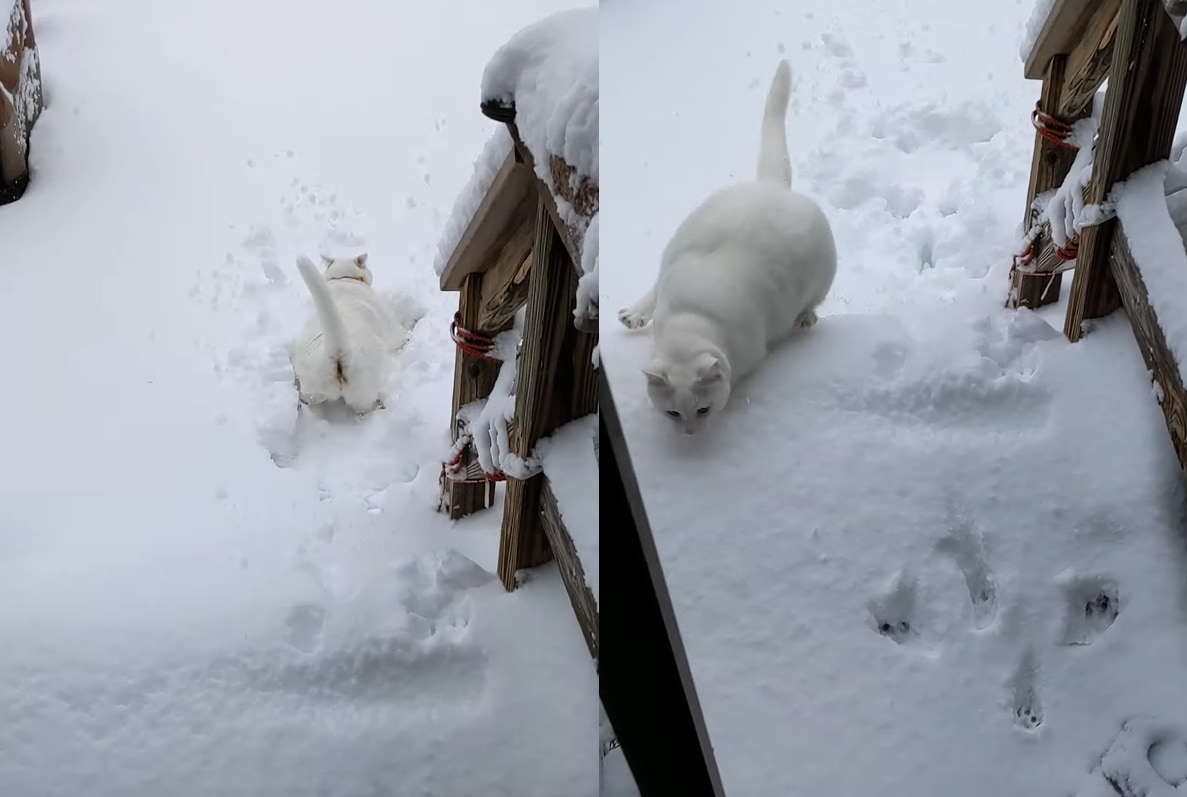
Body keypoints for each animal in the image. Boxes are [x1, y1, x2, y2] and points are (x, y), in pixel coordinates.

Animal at [289, 254, 391, 418]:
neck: (343, 278)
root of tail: (336, 351)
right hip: (363, 391)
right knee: (364, 408)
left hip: (312, 389)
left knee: (308, 399)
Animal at [621, 59, 835, 437]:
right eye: (672, 413)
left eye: (702, 410)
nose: (690, 433)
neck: (690, 319)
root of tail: (772, 186)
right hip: (678, 242)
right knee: (653, 287)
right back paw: (634, 313)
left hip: (823, 273)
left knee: (814, 301)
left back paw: (806, 317)